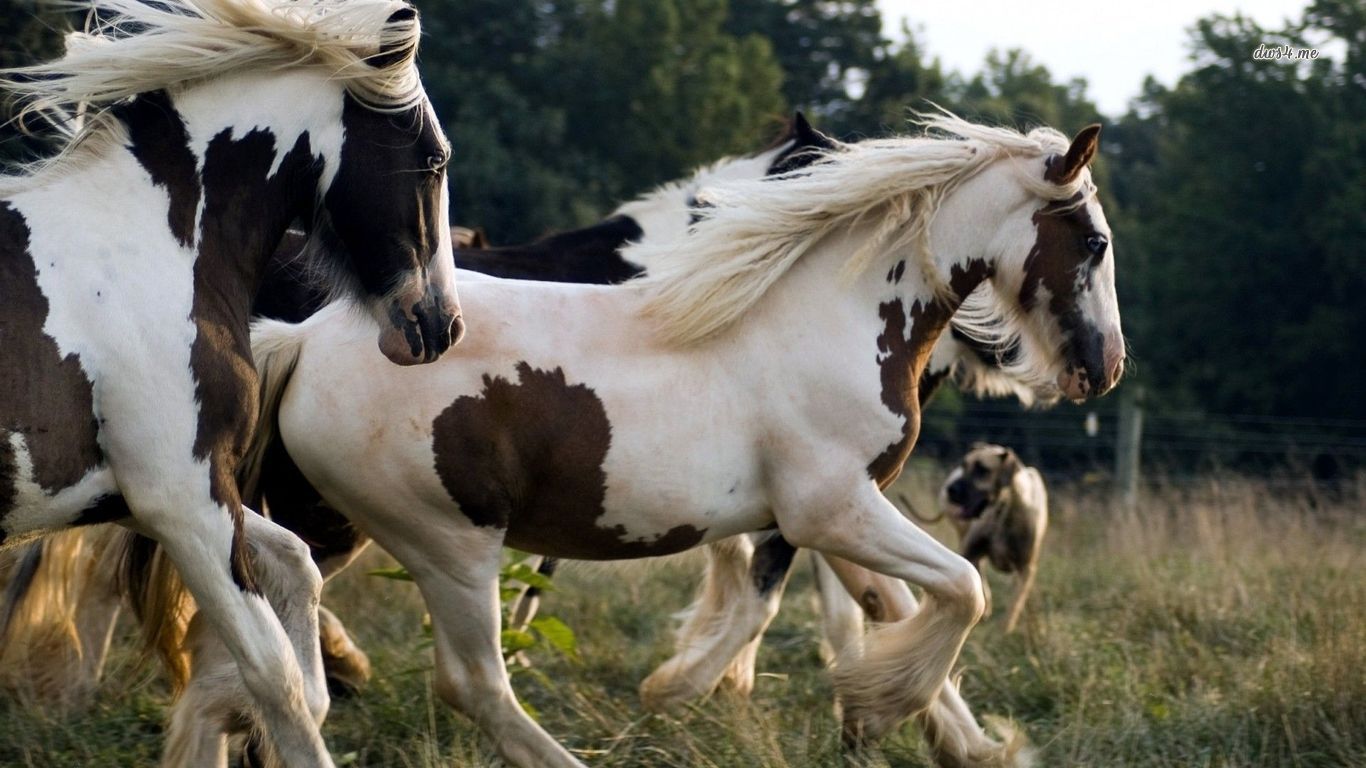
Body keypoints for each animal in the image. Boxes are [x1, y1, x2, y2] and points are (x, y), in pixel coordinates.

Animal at [0, 0, 461, 759]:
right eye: (434, 159)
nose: (440, 325)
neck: (148, 249)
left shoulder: (139, 493)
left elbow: (298, 566)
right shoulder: (182, 499)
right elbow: (277, 676)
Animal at [173, 110, 1120, 759]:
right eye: (1095, 240)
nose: (1102, 366)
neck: (827, 313)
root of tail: (304, 338)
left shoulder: (836, 516)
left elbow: (891, 603)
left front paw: (958, 740)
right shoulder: (826, 511)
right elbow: (960, 589)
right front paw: (706, 691)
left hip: (325, 525)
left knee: (235, 654)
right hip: (442, 543)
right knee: (469, 682)